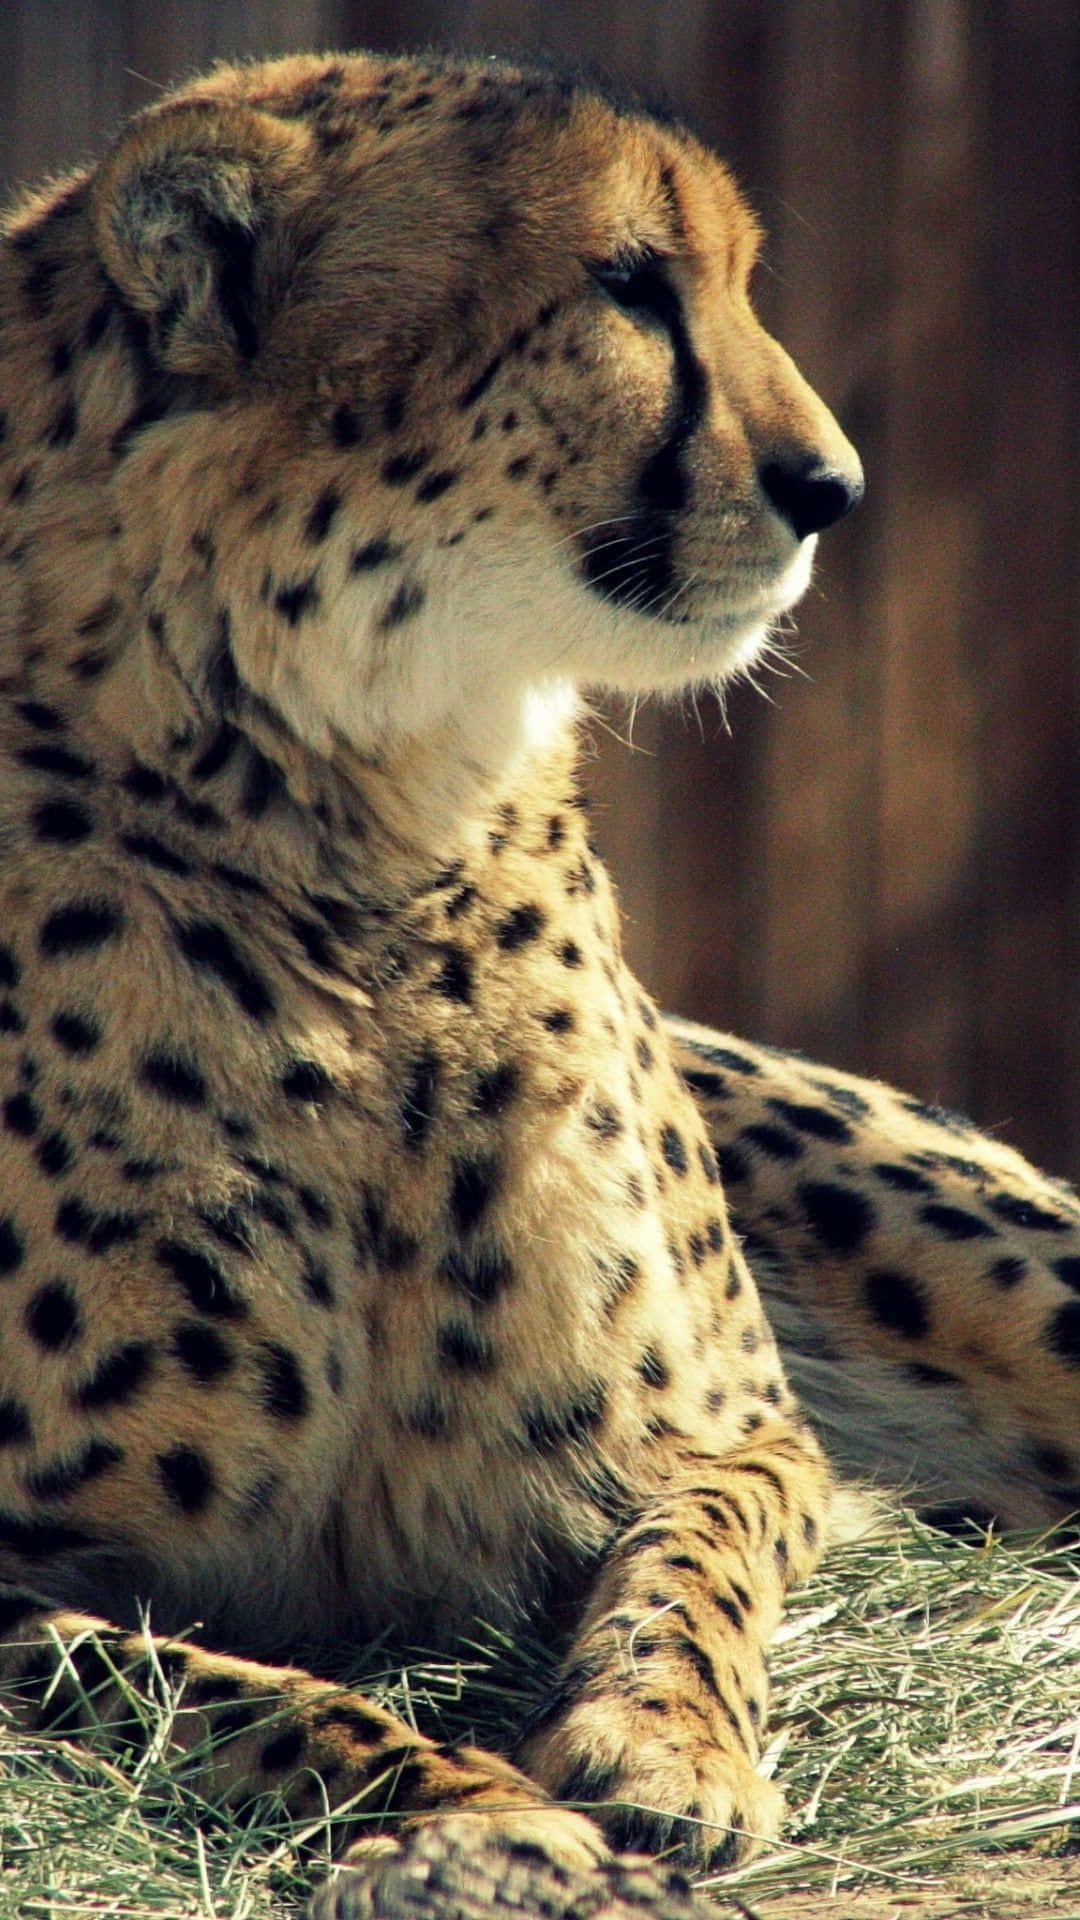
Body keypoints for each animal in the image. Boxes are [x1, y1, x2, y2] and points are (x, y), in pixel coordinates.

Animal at [0, 47, 1076, 1905]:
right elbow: (186, 1677)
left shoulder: (748, 1429)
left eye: (736, 276)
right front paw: (475, 1809)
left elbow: (692, 1546)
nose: (835, 488)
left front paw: (663, 1746)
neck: (359, 827)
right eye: (628, 284)